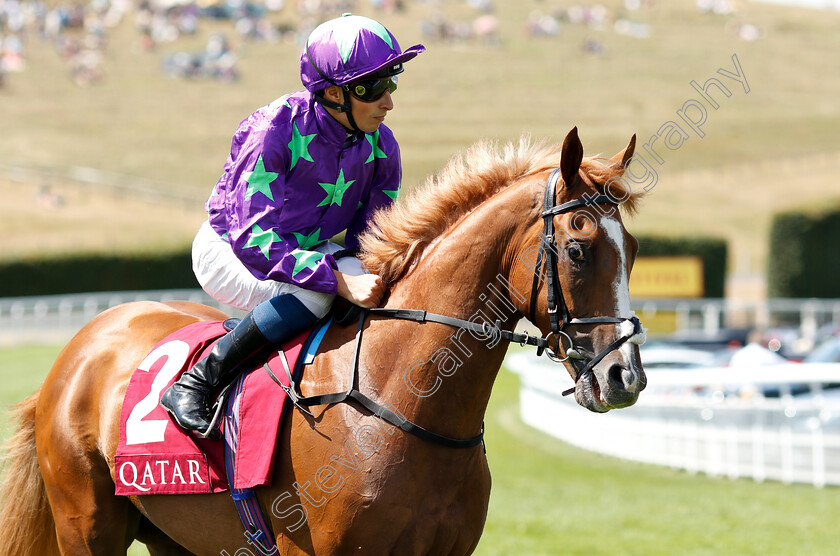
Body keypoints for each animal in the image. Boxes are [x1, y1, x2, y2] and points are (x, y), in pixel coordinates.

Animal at [0, 127, 648, 556]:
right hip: (87, 523)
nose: (626, 377)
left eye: (635, 250)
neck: (403, 402)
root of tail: (79, 349)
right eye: (577, 249)